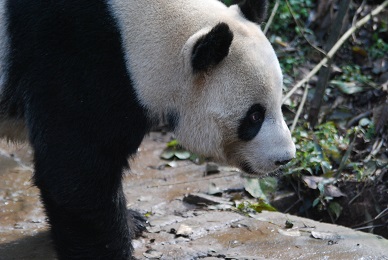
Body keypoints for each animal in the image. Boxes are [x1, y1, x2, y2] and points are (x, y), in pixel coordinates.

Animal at [0, 0, 294, 258]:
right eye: (254, 116)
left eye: (279, 103)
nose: (285, 158)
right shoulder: (72, 58)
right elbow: (75, 174)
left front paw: (133, 221)